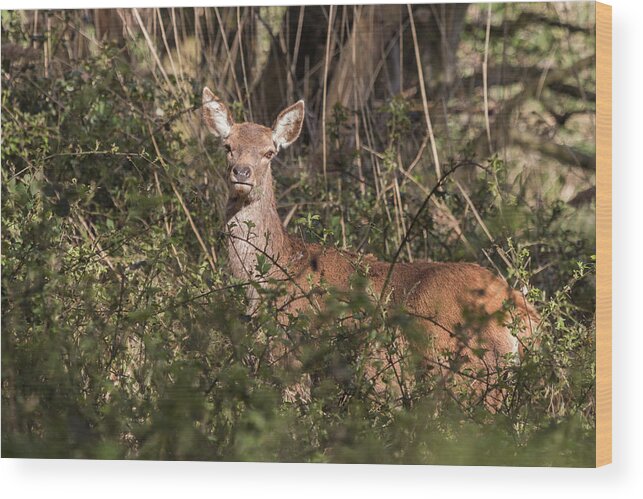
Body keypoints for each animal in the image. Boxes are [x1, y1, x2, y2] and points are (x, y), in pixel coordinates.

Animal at [203, 88, 540, 410]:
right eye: (227, 146)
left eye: (269, 152)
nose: (241, 172)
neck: (274, 271)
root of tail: (523, 315)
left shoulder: (290, 349)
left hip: (470, 371)